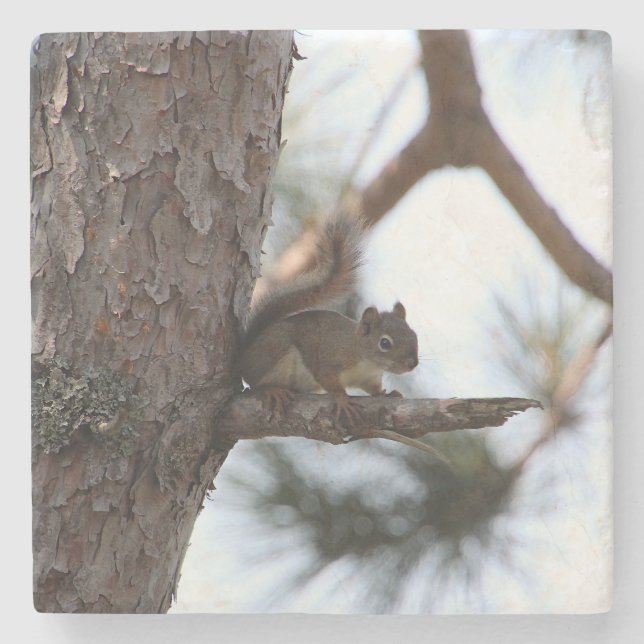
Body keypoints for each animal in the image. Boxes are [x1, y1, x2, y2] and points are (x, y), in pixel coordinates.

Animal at [237, 215, 448, 463]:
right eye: (385, 343)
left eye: (413, 334)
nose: (412, 363)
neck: (363, 357)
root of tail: (244, 357)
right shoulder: (329, 358)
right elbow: (328, 378)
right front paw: (343, 400)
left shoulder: (369, 378)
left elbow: (374, 389)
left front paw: (387, 394)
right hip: (275, 350)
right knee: (255, 382)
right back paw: (272, 390)